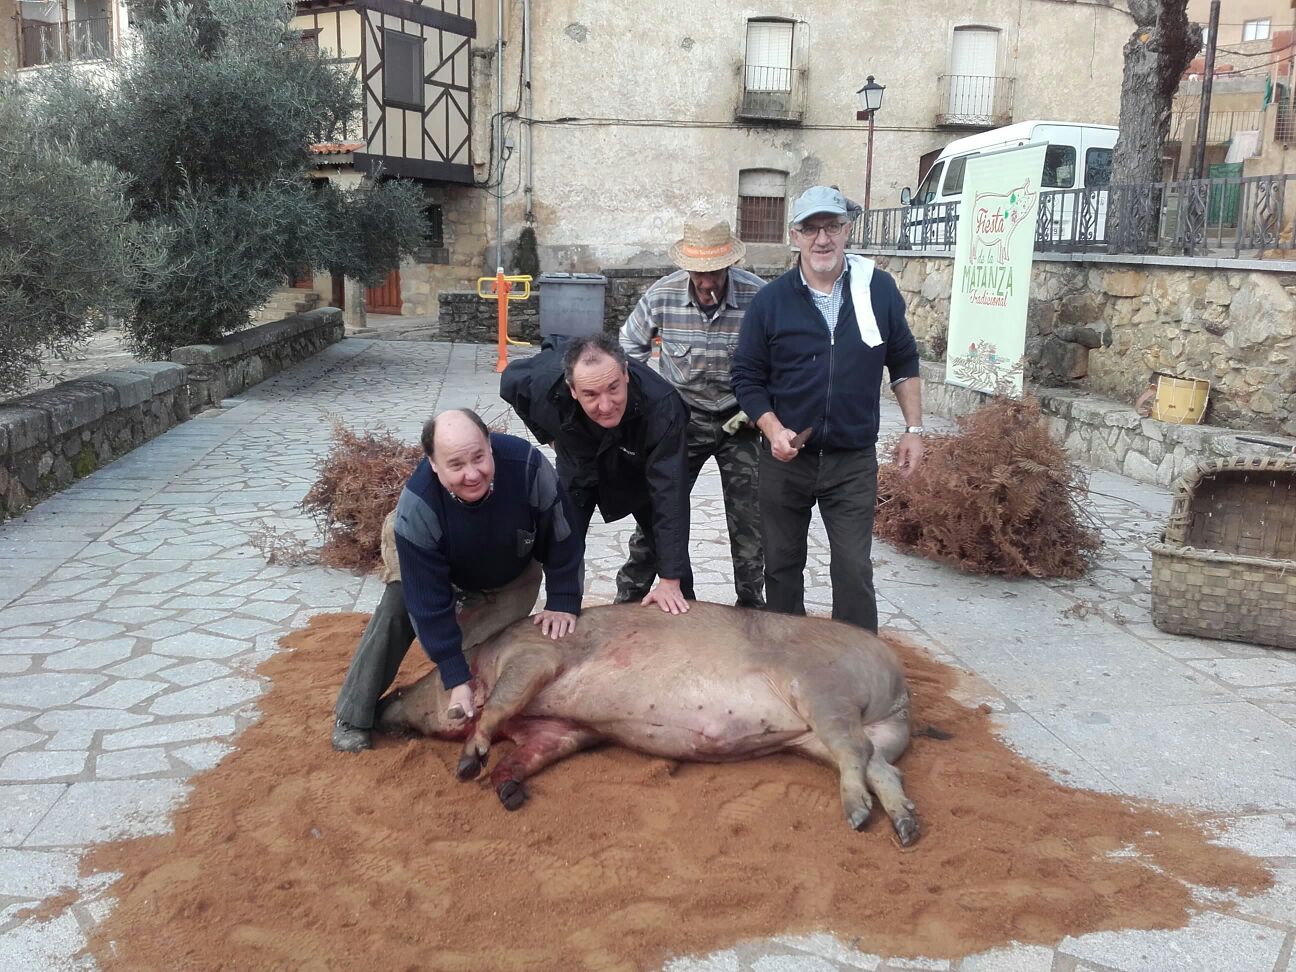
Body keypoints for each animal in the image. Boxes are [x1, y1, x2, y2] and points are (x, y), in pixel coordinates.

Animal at [374, 601, 920, 845]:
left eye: (408, 687)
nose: (383, 702)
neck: (484, 658)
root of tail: (899, 690)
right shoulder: (561, 729)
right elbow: (530, 752)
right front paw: (508, 792)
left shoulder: (534, 657)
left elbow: (499, 705)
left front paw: (468, 766)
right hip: (841, 735)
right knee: (880, 764)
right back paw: (907, 828)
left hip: (822, 689)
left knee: (855, 753)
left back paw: (857, 818)